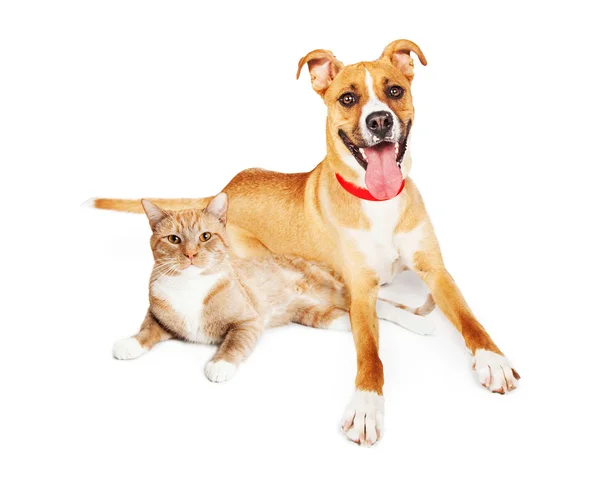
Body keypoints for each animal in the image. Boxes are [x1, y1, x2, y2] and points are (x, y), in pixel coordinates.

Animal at [112, 191, 434, 382]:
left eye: (205, 236)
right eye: (174, 239)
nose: (191, 255)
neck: (191, 287)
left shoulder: (247, 322)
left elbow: (233, 343)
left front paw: (221, 364)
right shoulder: (158, 315)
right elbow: (147, 329)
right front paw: (130, 343)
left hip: (334, 291)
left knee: (380, 306)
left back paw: (420, 325)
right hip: (309, 313)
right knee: (349, 316)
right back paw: (349, 322)